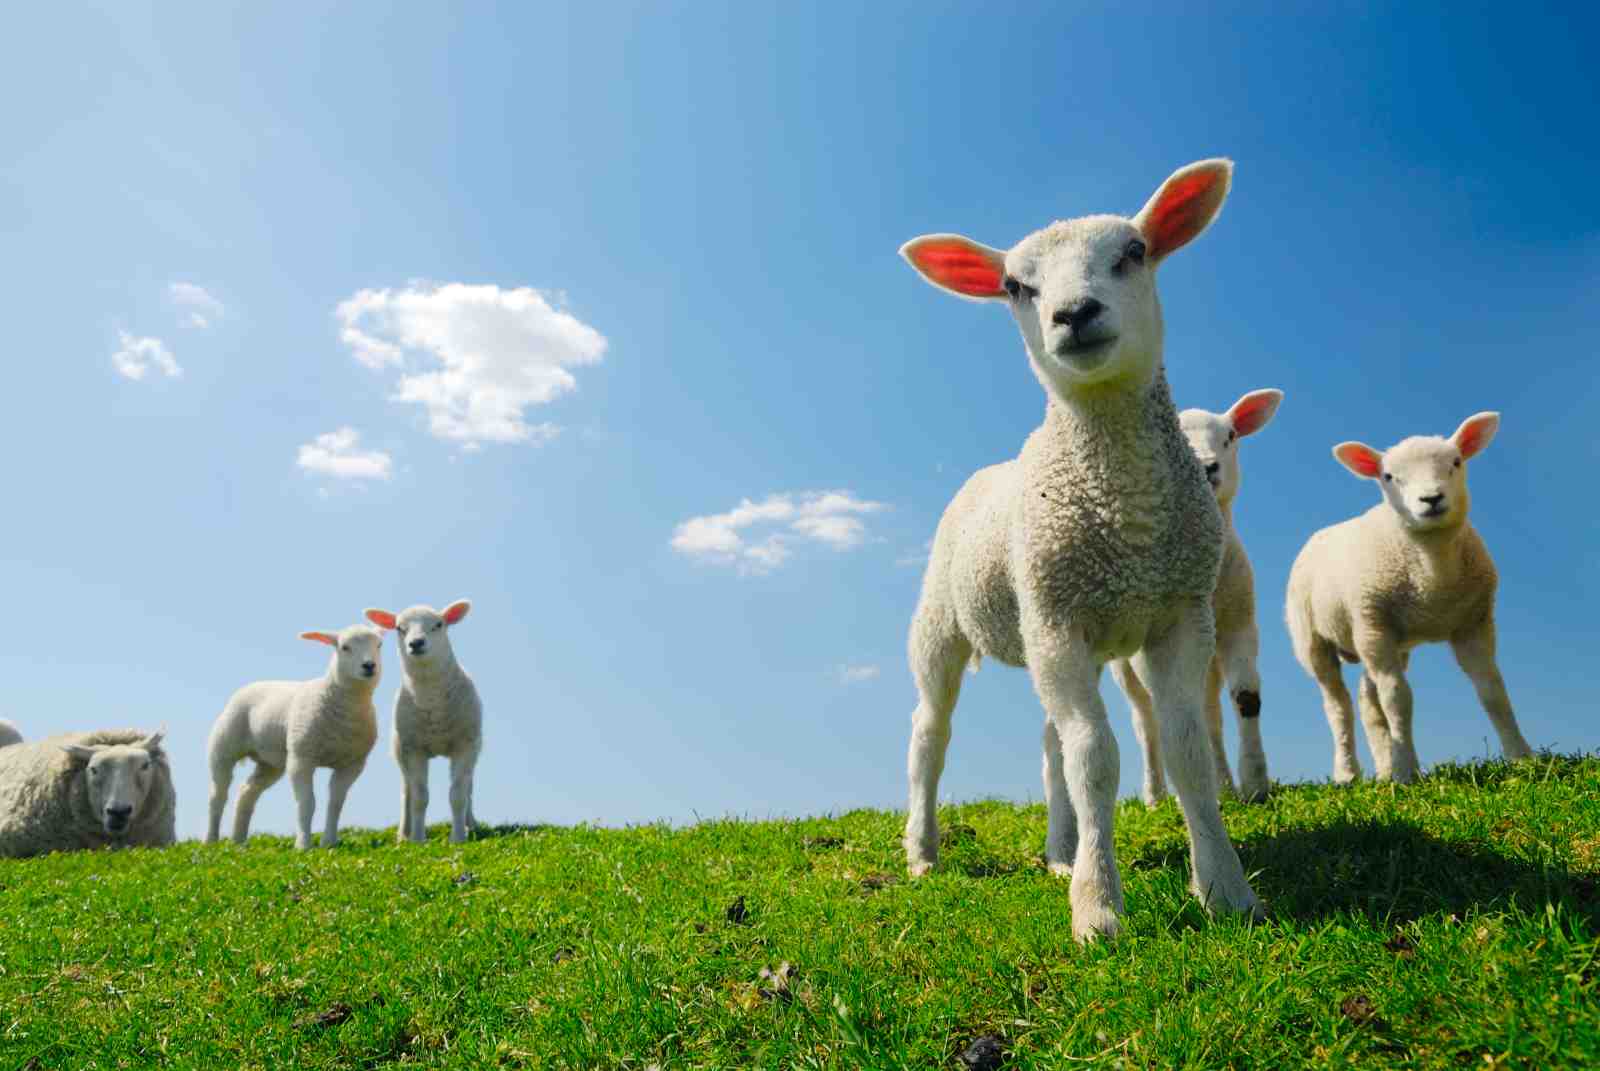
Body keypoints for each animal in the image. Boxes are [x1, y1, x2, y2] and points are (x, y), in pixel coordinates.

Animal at [206, 624, 387, 850]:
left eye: (379, 645)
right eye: (344, 647)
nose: (369, 666)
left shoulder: (352, 765)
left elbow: (335, 803)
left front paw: (329, 843)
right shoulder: (302, 759)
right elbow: (307, 803)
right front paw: (303, 845)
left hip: (270, 763)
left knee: (247, 792)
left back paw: (239, 841)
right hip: (224, 747)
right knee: (217, 795)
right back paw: (211, 840)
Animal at [364, 601, 482, 845]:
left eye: (438, 624)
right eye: (399, 628)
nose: (416, 643)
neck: (432, 700)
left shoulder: (464, 745)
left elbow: (458, 794)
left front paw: (458, 837)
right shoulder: (414, 749)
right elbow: (419, 796)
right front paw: (418, 839)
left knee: (469, 787)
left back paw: (471, 825)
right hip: (400, 750)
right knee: (406, 790)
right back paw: (404, 834)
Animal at [898, 159, 1262, 940]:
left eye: (1134, 252)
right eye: (1015, 286)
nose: (1074, 313)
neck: (1127, 515)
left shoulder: (1179, 613)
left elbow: (1185, 750)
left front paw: (1225, 887)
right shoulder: (1060, 620)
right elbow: (1096, 757)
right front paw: (1098, 910)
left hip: (1058, 630)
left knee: (1049, 744)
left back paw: (1061, 851)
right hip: (952, 623)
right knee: (930, 735)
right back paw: (923, 851)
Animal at [1109, 389, 1283, 805]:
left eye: (1231, 436)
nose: (1207, 467)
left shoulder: (1240, 624)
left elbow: (1246, 699)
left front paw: (1254, 783)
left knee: (1208, 714)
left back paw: (1223, 784)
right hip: (1125, 667)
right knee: (1146, 721)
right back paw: (1156, 795)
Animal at [1287, 412, 1534, 784]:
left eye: (1456, 462)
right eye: (1388, 477)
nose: (1431, 499)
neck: (1432, 577)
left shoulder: (1474, 623)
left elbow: (1492, 689)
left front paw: (1522, 756)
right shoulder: (1374, 625)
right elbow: (1397, 699)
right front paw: (1406, 772)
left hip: (1379, 638)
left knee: (1368, 700)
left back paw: (1384, 767)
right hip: (1316, 637)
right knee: (1338, 704)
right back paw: (1348, 772)